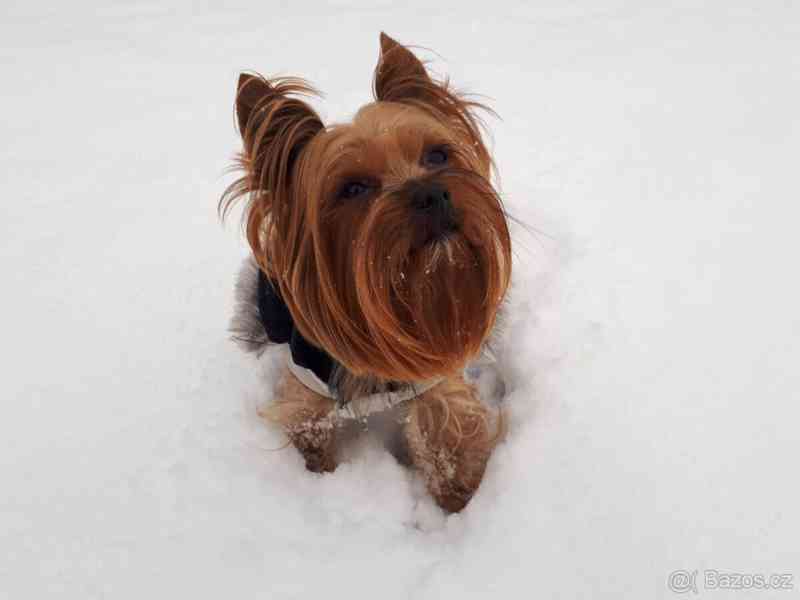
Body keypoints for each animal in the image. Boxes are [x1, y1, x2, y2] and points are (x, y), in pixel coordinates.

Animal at [223, 32, 512, 510]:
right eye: (353, 188)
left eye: (437, 155)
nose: (432, 193)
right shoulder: (305, 388)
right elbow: (307, 429)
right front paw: (319, 477)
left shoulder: (435, 378)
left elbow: (448, 437)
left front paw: (457, 503)